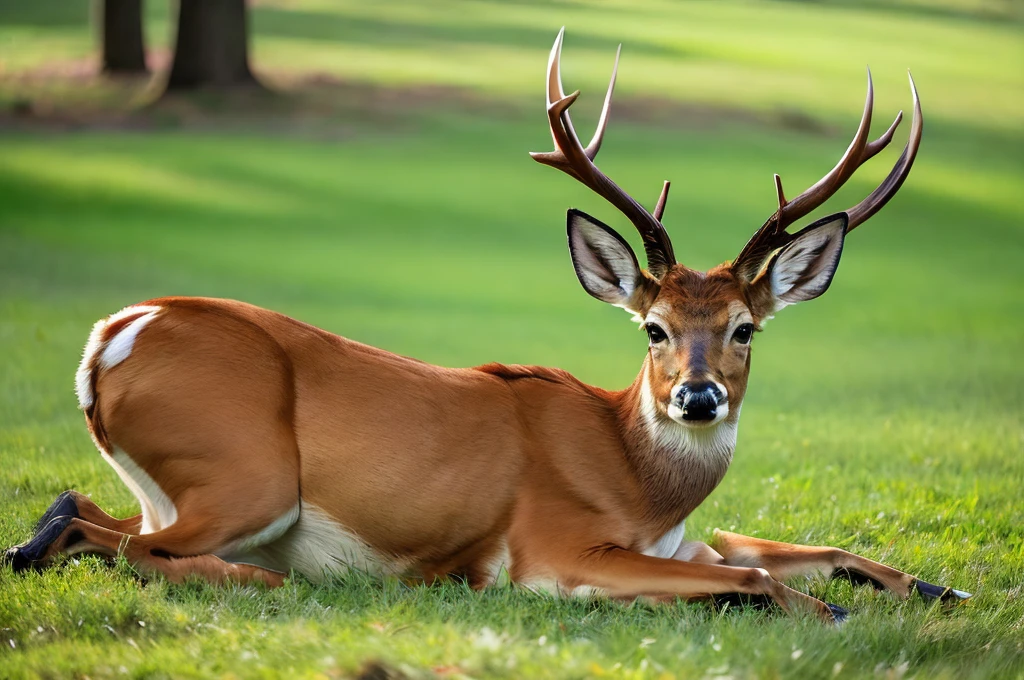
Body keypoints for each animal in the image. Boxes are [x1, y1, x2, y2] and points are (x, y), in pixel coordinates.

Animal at [6, 33, 966, 626]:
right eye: (653, 329)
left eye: (745, 330)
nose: (697, 399)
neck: (639, 479)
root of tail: (113, 335)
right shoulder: (555, 547)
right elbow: (756, 573)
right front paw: (827, 612)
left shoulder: (686, 535)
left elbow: (821, 550)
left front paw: (944, 592)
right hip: (247, 469)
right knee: (107, 544)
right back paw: (261, 577)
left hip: (183, 482)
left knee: (76, 512)